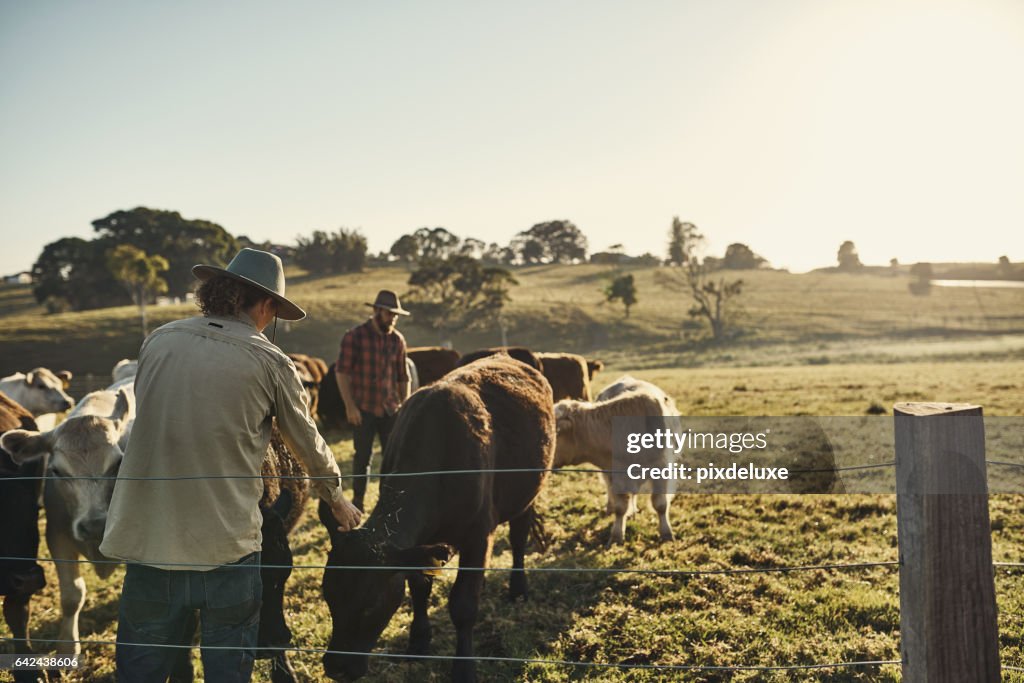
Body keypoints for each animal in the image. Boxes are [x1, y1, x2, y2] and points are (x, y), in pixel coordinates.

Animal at [1, 378, 135, 655]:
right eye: (56, 470)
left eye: (118, 464)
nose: (95, 526)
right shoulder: (57, 537)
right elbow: (72, 595)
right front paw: (67, 647)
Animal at [321, 356, 557, 679]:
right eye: (328, 596)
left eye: (370, 604)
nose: (336, 667)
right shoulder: (419, 545)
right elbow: (419, 587)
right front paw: (418, 641)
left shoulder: (478, 535)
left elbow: (463, 606)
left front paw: (464, 668)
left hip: (527, 494)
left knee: (519, 538)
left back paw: (518, 588)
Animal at [552, 374, 679, 544]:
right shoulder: (614, 473)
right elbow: (620, 507)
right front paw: (617, 534)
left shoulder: (661, 469)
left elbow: (660, 504)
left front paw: (666, 533)